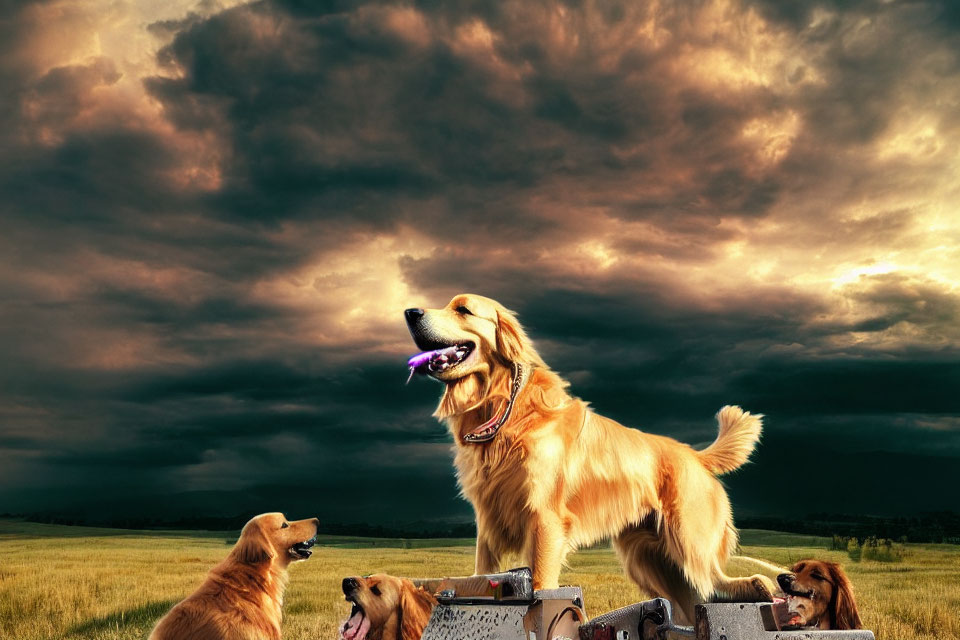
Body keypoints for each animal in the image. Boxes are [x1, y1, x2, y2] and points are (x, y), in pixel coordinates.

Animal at [404, 296, 772, 624]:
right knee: (692, 601)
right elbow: (483, 575)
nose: (410, 312)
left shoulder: (545, 519)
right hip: (649, 561)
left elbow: (540, 585)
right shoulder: (488, 522)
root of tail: (695, 455)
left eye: (463, 309)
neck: (508, 412)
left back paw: (759, 585)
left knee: (715, 581)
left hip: (688, 540)